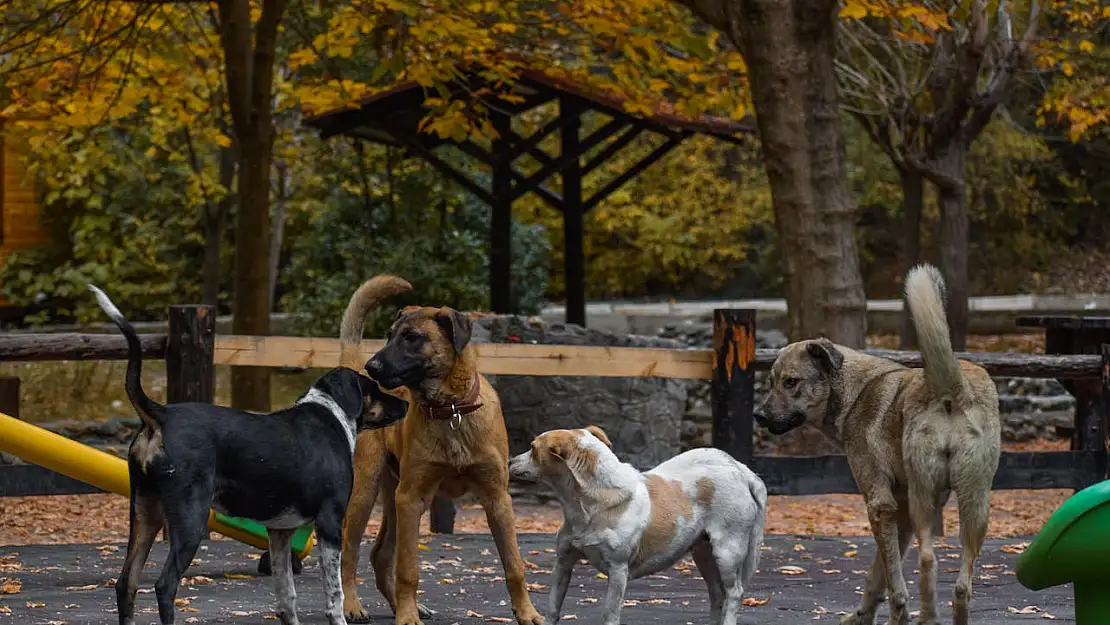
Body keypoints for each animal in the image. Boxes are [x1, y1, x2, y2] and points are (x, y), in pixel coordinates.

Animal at [91, 284, 410, 625]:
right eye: (373, 389)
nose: (406, 404)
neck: (330, 414)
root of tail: (160, 414)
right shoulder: (330, 523)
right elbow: (334, 597)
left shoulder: (280, 532)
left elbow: (286, 596)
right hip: (189, 520)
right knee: (165, 586)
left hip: (144, 514)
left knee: (127, 584)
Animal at [337, 275, 546, 625]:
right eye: (389, 336)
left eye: (412, 338)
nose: (373, 365)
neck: (451, 410)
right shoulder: (412, 498)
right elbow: (409, 568)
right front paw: (407, 617)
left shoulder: (497, 499)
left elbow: (514, 565)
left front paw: (527, 612)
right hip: (366, 492)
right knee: (349, 552)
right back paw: (352, 606)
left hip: (394, 498)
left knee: (380, 554)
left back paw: (399, 605)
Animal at [508, 426, 763, 625]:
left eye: (532, 448)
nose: (509, 460)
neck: (589, 503)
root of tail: (740, 470)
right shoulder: (563, 562)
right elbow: (552, 608)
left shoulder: (618, 570)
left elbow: (610, 614)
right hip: (703, 554)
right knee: (717, 594)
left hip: (727, 552)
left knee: (734, 593)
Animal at [759, 266, 1003, 625]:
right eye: (771, 382)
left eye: (791, 382)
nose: (758, 415)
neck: (854, 391)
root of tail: (952, 387)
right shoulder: (897, 512)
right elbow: (877, 574)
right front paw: (863, 615)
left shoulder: (879, 504)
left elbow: (892, 581)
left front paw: (893, 616)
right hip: (974, 502)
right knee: (961, 583)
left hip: (924, 497)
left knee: (927, 560)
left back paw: (927, 618)